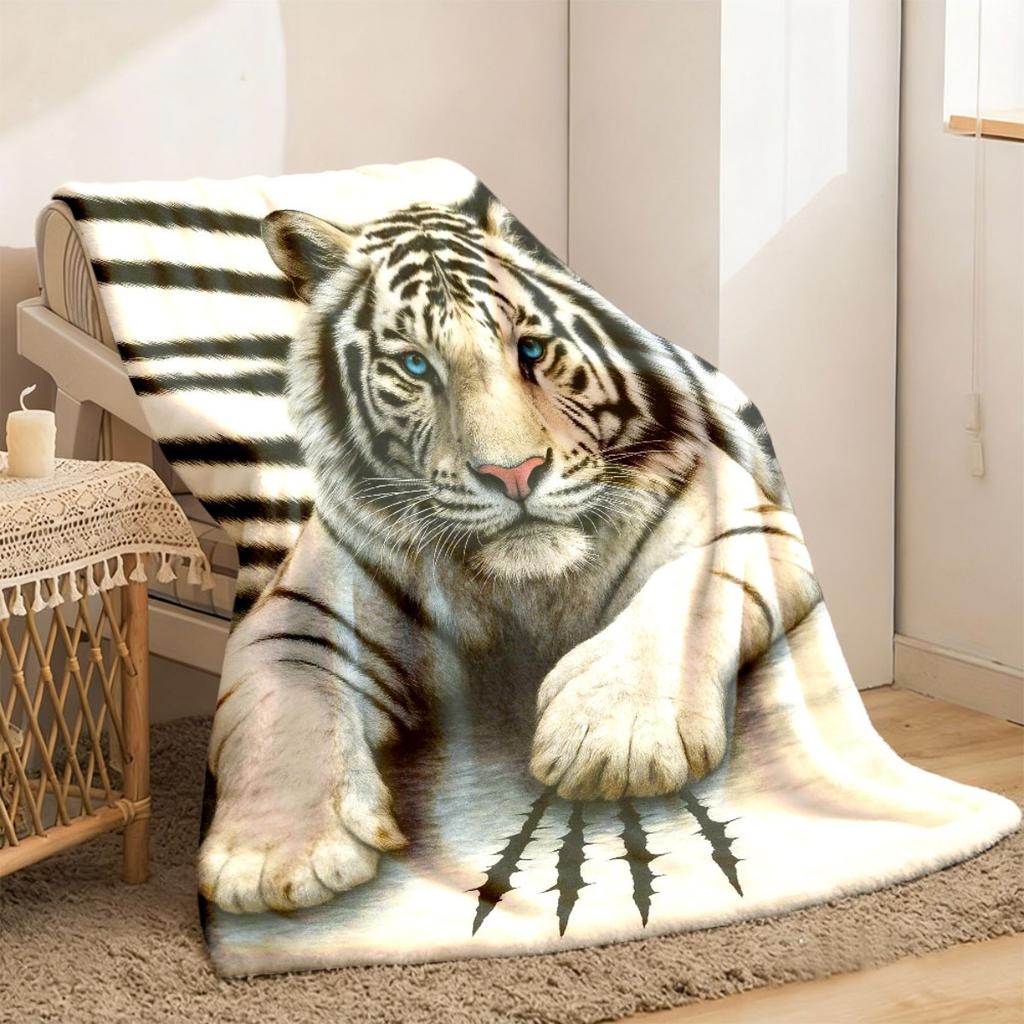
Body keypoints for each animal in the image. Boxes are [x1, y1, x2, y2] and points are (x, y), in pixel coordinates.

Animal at [197, 191, 822, 915]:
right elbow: (288, 712)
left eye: (531, 348)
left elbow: (685, 603)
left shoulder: (744, 522)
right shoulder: (297, 617)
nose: (516, 474)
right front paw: (278, 857)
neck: (522, 587)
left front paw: (614, 737)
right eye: (416, 366)